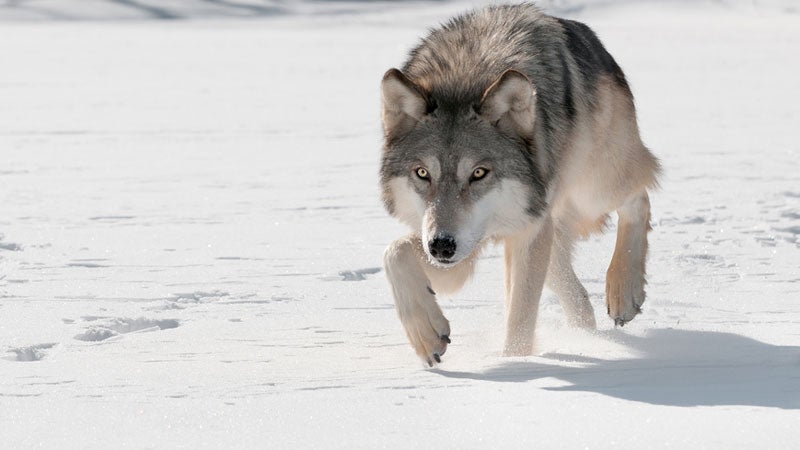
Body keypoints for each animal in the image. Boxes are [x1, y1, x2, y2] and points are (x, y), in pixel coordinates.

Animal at [378, 2, 660, 366]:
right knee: (574, 291)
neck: (465, 76)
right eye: (423, 173)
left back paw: (623, 293)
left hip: (593, 189)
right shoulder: (461, 248)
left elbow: (521, 317)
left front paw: (515, 364)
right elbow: (394, 253)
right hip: (545, 225)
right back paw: (585, 334)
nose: (441, 246)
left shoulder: (524, 230)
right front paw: (427, 335)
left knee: (639, 196)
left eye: (479, 173)